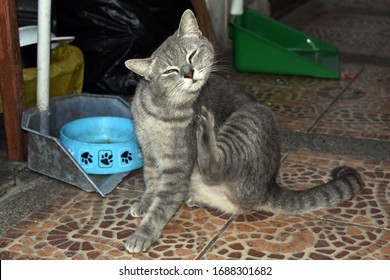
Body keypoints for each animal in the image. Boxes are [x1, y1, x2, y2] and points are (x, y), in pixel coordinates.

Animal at [123, 9, 364, 253]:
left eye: (192, 55)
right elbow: (151, 183)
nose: (189, 73)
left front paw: (142, 233)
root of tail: (268, 187)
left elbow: (162, 205)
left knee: (214, 168)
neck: (159, 110)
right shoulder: (149, 155)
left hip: (247, 118)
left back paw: (205, 127)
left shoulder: (178, 166)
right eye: (170, 71)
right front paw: (144, 203)